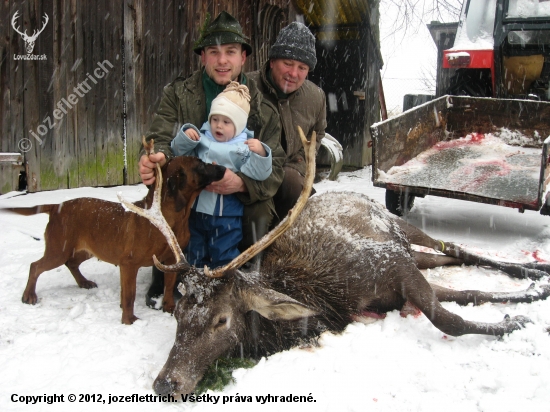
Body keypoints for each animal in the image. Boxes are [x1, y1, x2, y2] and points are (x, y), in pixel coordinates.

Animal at [5, 140, 225, 324]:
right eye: (200, 164)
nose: (224, 167)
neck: (169, 217)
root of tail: (57, 206)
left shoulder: (171, 260)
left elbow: (169, 287)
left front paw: (169, 308)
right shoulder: (129, 264)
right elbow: (129, 295)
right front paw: (129, 320)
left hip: (86, 249)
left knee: (71, 263)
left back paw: (83, 282)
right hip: (59, 250)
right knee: (36, 266)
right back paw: (29, 295)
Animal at [134, 129, 550, 396]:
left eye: (221, 319)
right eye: (177, 314)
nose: (165, 383)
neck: (329, 299)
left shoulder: (390, 261)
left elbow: (450, 319)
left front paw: (518, 319)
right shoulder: (396, 283)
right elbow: (465, 295)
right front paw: (522, 305)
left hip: (401, 228)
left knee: (456, 249)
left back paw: (536, 271)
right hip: (412, 251)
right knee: (448, 263)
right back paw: (533, 282)